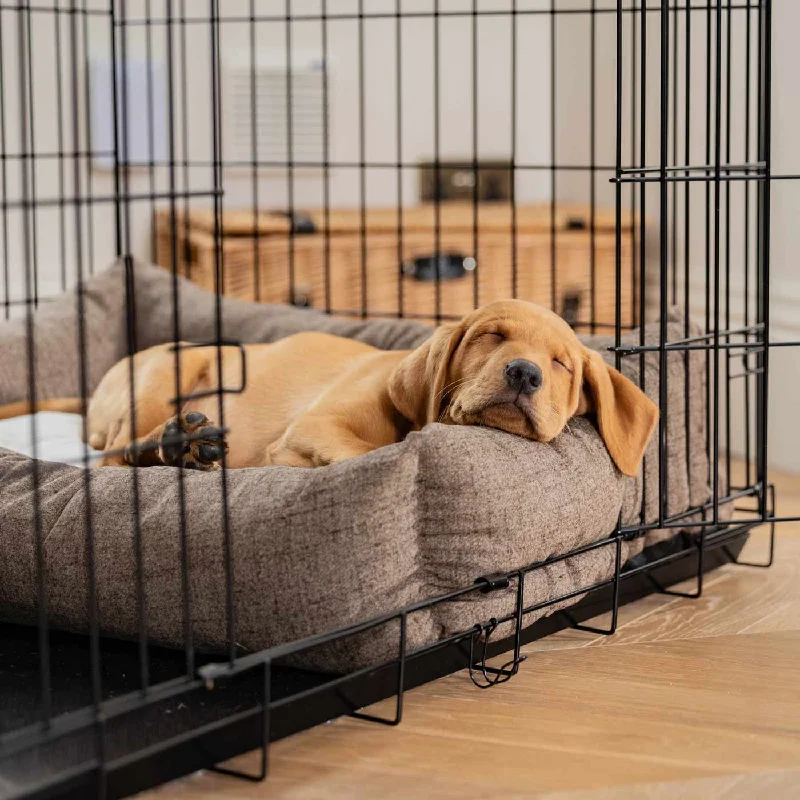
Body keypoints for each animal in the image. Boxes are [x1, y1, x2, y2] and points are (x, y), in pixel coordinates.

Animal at [0, 300, 656, 476]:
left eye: (563, 364)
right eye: (492, 335)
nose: (525, 373)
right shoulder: (320, 424)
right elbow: (363, 453)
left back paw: (189, 448)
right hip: (166, 374)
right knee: (113, 459)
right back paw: (178, 446)